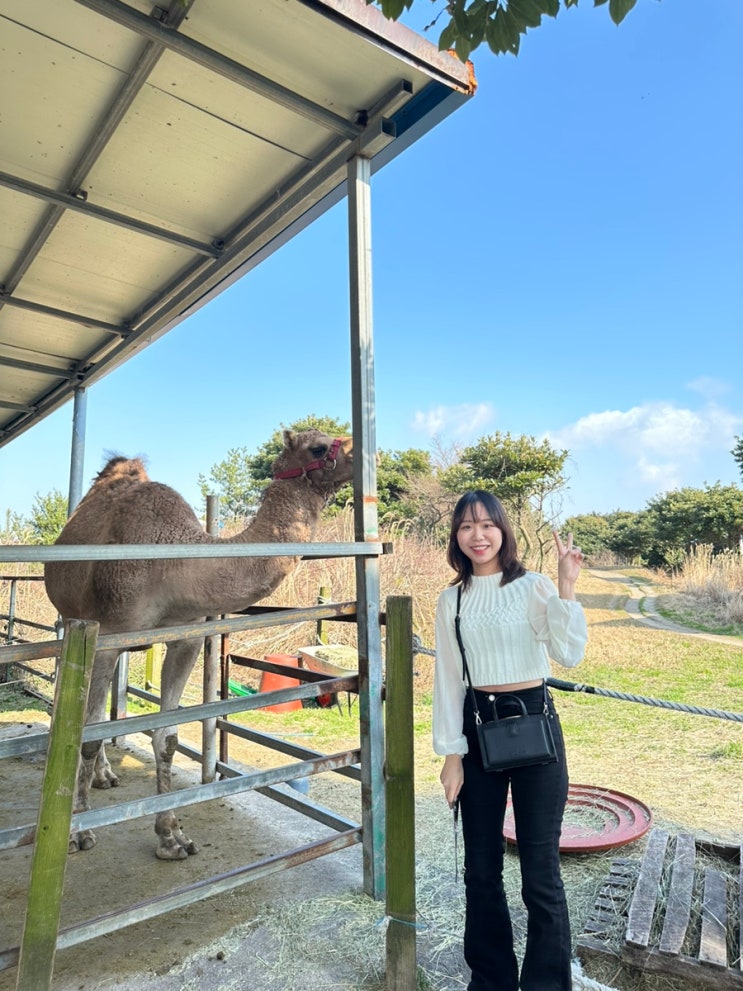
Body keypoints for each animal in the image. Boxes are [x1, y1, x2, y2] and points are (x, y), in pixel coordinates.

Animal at [45, 430, 354, 856]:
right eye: (319, 447)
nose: (362, 455)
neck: (174, 561)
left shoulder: (184, 638)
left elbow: (168, 738)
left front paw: (171, 835)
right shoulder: (107, 637)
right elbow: (86, 738)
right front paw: (77, 831)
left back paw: (105, 775)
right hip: (71, 620)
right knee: (68, 687)